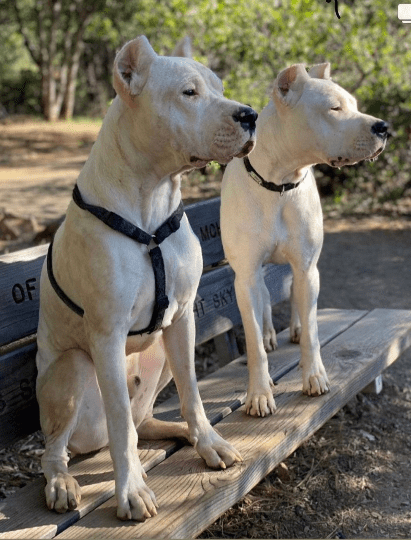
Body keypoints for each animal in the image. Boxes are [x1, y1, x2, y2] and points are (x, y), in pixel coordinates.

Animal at [37, 35, 258, 520]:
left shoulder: (183, 320)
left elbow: (193, 393)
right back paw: (63, 481)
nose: (251, 115)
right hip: (72, 370)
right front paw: (131, 490)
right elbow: (121, 424)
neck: (151, 197)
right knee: (60, 448)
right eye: (189, 93)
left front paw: (207, 441)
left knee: (143, 421)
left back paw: (181, 433)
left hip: (159, 357)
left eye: (220, 88)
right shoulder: (106, 335)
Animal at [220, 62, 388, 418]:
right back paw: (270, 334)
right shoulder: (246, 275)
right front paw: (258, 392)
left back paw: (294, 328)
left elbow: (312, 330)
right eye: (335, 108)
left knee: (298, 298)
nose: (384, 127)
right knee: (264, 301)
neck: (279, 182)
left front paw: (314, 376)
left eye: (355, 105)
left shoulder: (308, 265)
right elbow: (253, 341)